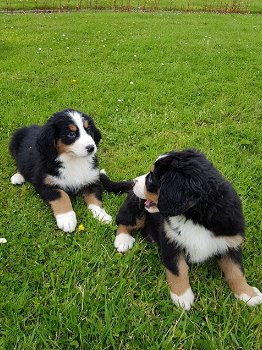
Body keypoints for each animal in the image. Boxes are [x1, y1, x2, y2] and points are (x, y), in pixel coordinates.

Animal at [99, 148, 260, 308]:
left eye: (151, 179)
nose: (134, 182)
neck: (195, 217)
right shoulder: (171, 241)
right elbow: (178, 270)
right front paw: (182, 297)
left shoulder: (231, 242)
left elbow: (236, 271)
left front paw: (248, 294)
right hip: (135, 210)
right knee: (123, 221)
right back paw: (123, 240)